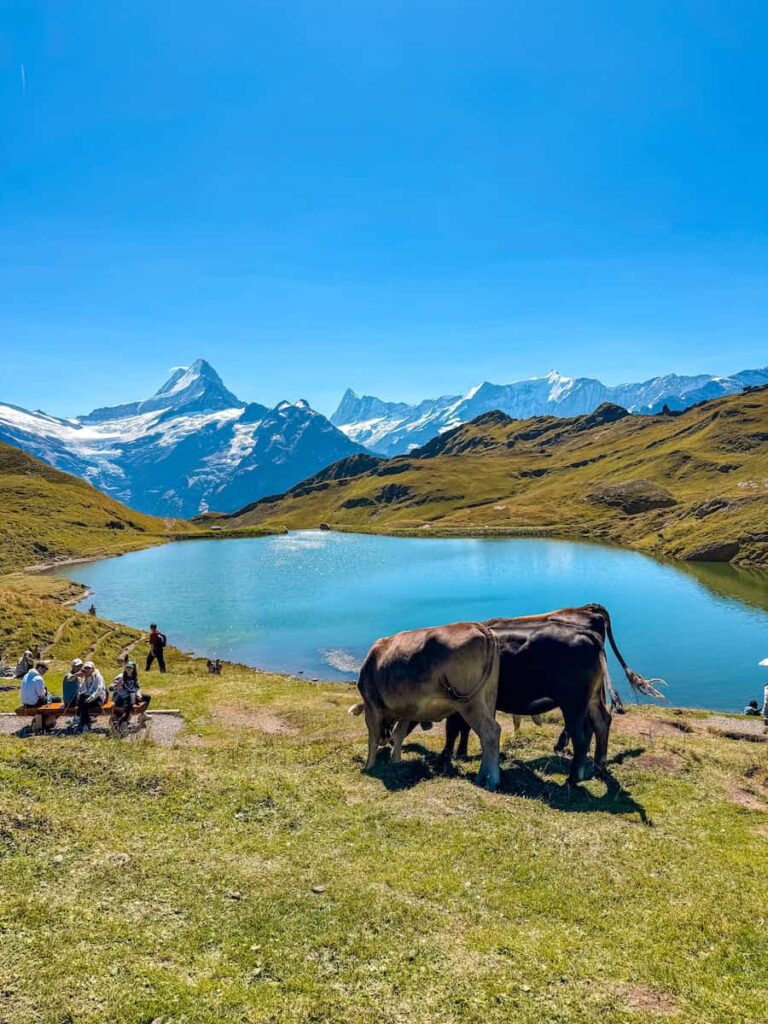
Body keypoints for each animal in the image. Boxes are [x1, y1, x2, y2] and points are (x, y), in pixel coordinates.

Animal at [348, 621, 502, 791]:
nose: (385, 739)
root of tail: (476, 625)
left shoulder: (372, 705)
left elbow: (373, 737)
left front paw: (368, 766)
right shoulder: (407, 710)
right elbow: (399, 734)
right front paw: (396, 761)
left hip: (470, 703)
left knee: (490, 732)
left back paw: (491, 780)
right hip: (489, 696)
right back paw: (483, 776)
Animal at [439, 604, 664, 784]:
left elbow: (454, 728)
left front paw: (448, 755)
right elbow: (465, 727)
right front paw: (461, 752)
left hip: (572, 701)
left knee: (582, 735)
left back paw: (573, 777)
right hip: (592, 696)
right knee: (602, 722)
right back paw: (598, 764)